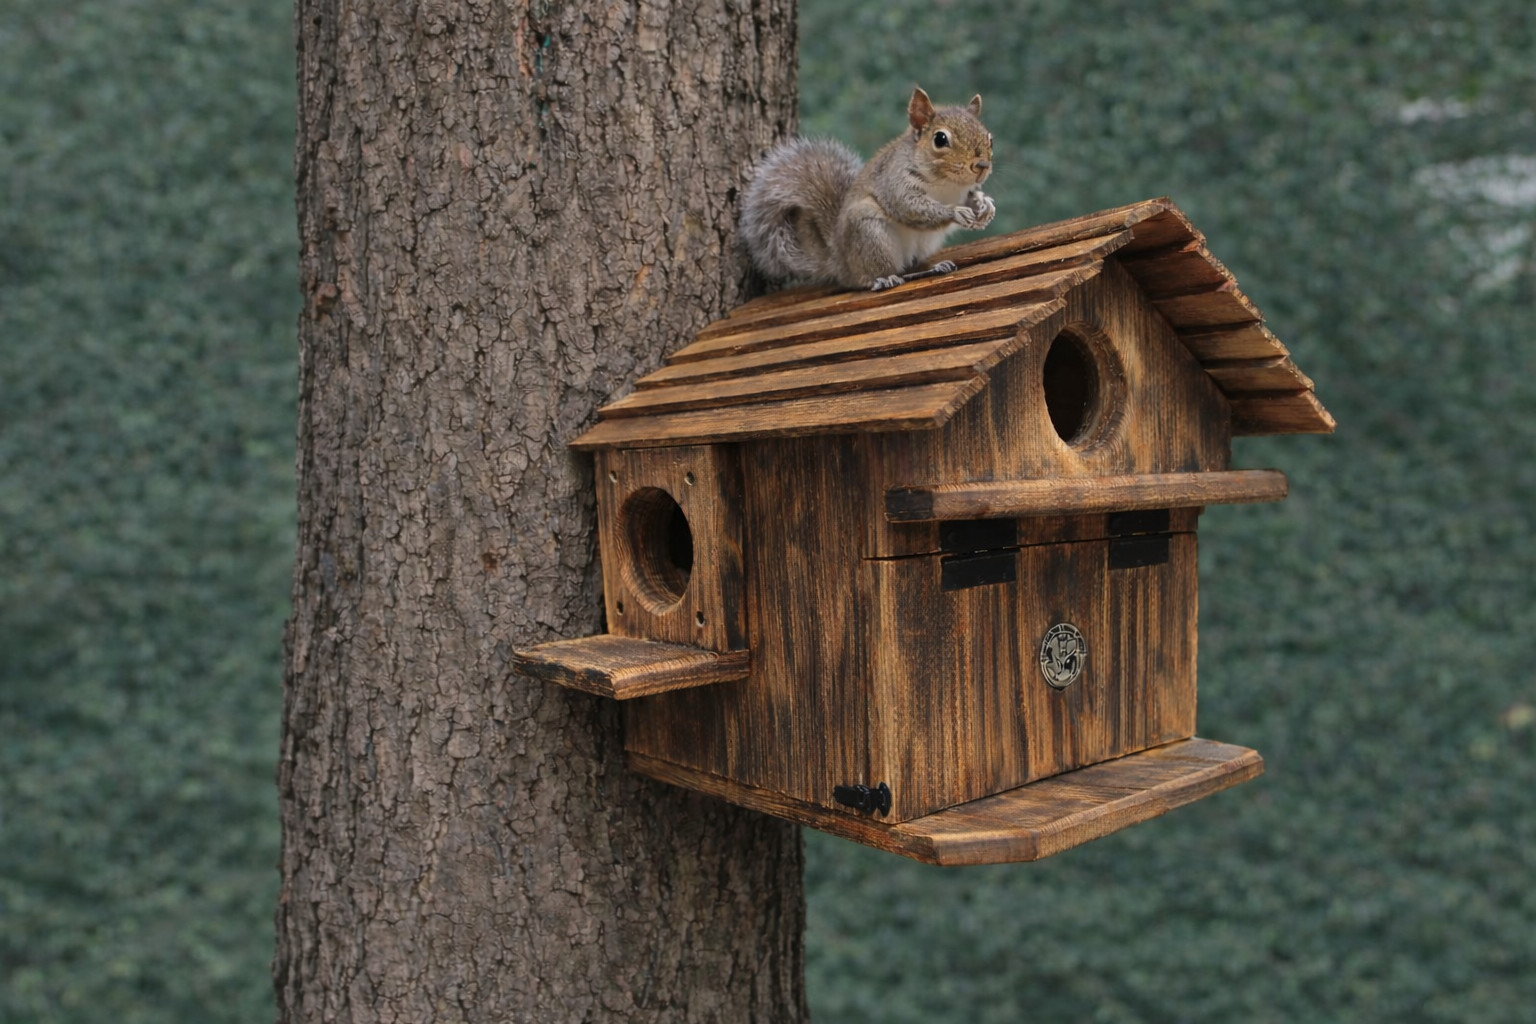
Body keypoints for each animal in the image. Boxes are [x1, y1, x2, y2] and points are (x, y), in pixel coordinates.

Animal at [739, 87, 996, 292]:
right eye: (940, 139)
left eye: (989, 138)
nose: (982, 166)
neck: (948, 185)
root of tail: (841, 263)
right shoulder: (895, 182)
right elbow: (911, 207)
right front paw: (955, 212)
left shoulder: (962, 191)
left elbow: (972, 197)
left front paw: (984, 205)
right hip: (870, 233)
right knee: (872, 277)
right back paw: (886, 279)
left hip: (922, 244)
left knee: (909, 265)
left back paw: (934, 267)